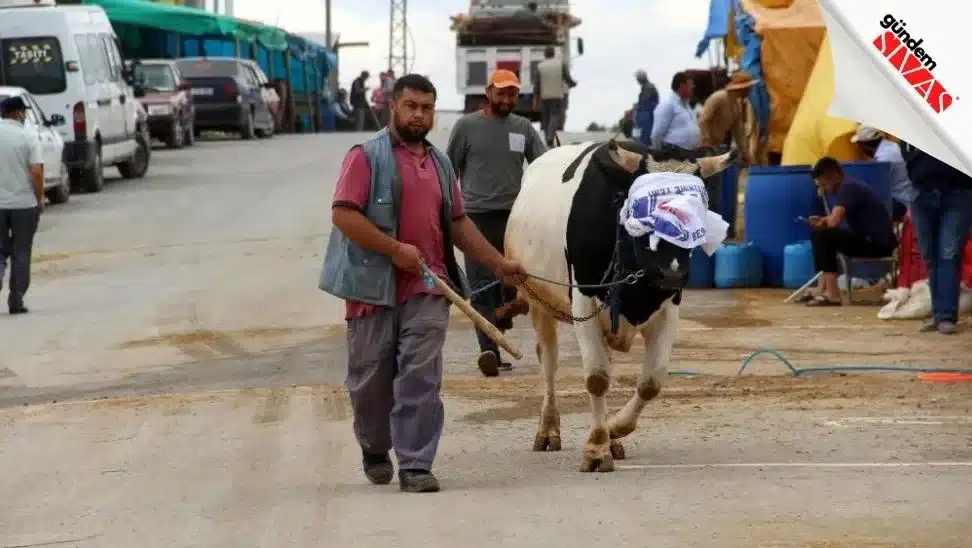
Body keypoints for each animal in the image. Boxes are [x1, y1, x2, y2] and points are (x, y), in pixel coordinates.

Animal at [502, 139, 736, 474]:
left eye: (700, 209)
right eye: (643, 209)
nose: (673, 273)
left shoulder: (668, 309)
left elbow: (651, 382)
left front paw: (612, 430)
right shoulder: (583, 302)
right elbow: (597, 378)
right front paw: (597, 449)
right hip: (538, 302)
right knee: (548, 363)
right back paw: (548, 430)